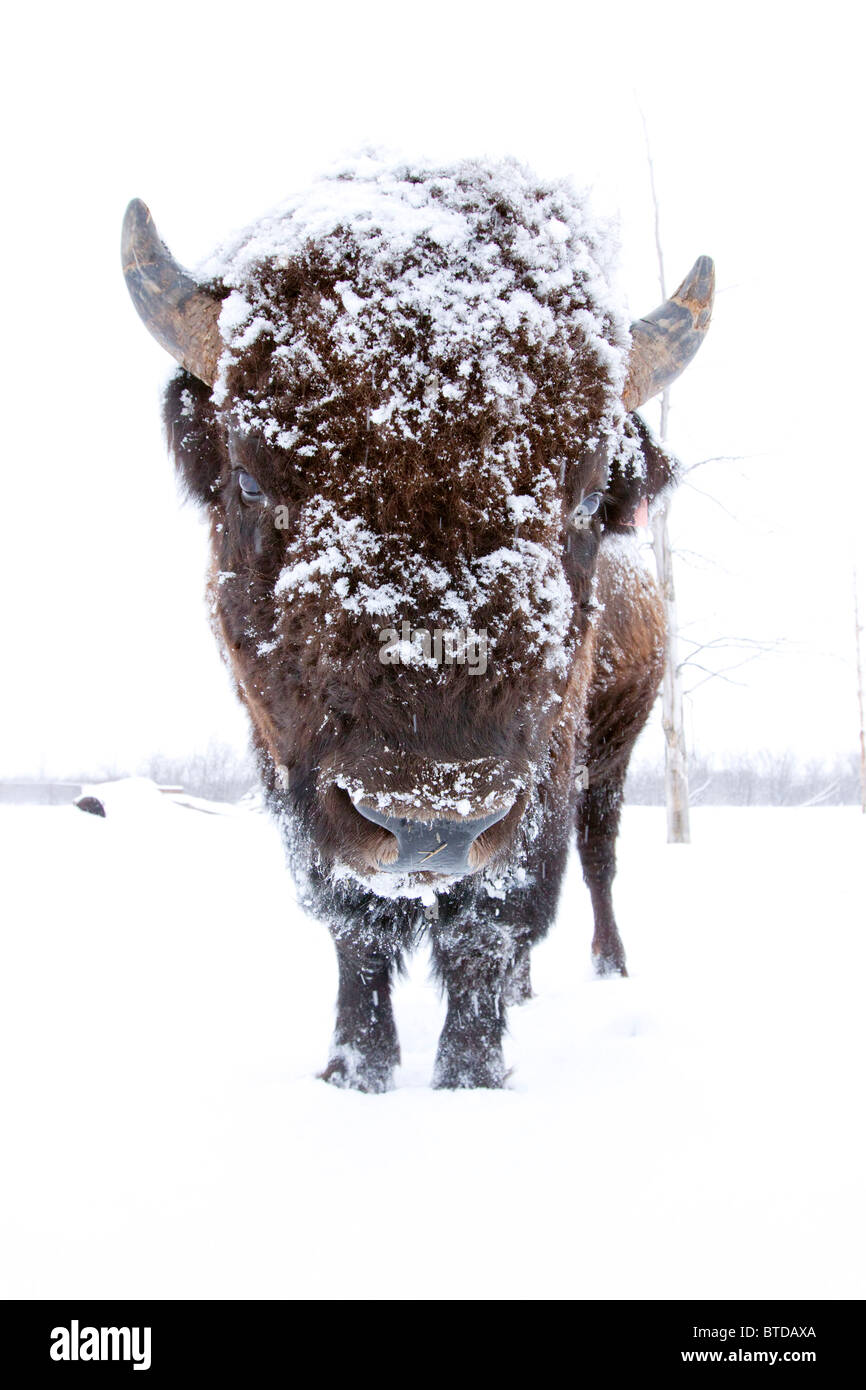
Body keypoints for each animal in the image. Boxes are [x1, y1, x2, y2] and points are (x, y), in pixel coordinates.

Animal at [123, 157, 717, 1089]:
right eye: (251, 479)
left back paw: (608, 967)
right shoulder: (297, 779)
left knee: (599, 854)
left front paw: (470, 1076)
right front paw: (355, 1071)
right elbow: (357, 929)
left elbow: (489, 924)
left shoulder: (542, 777)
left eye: (587, 498)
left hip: (613, 749)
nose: (429, 825)